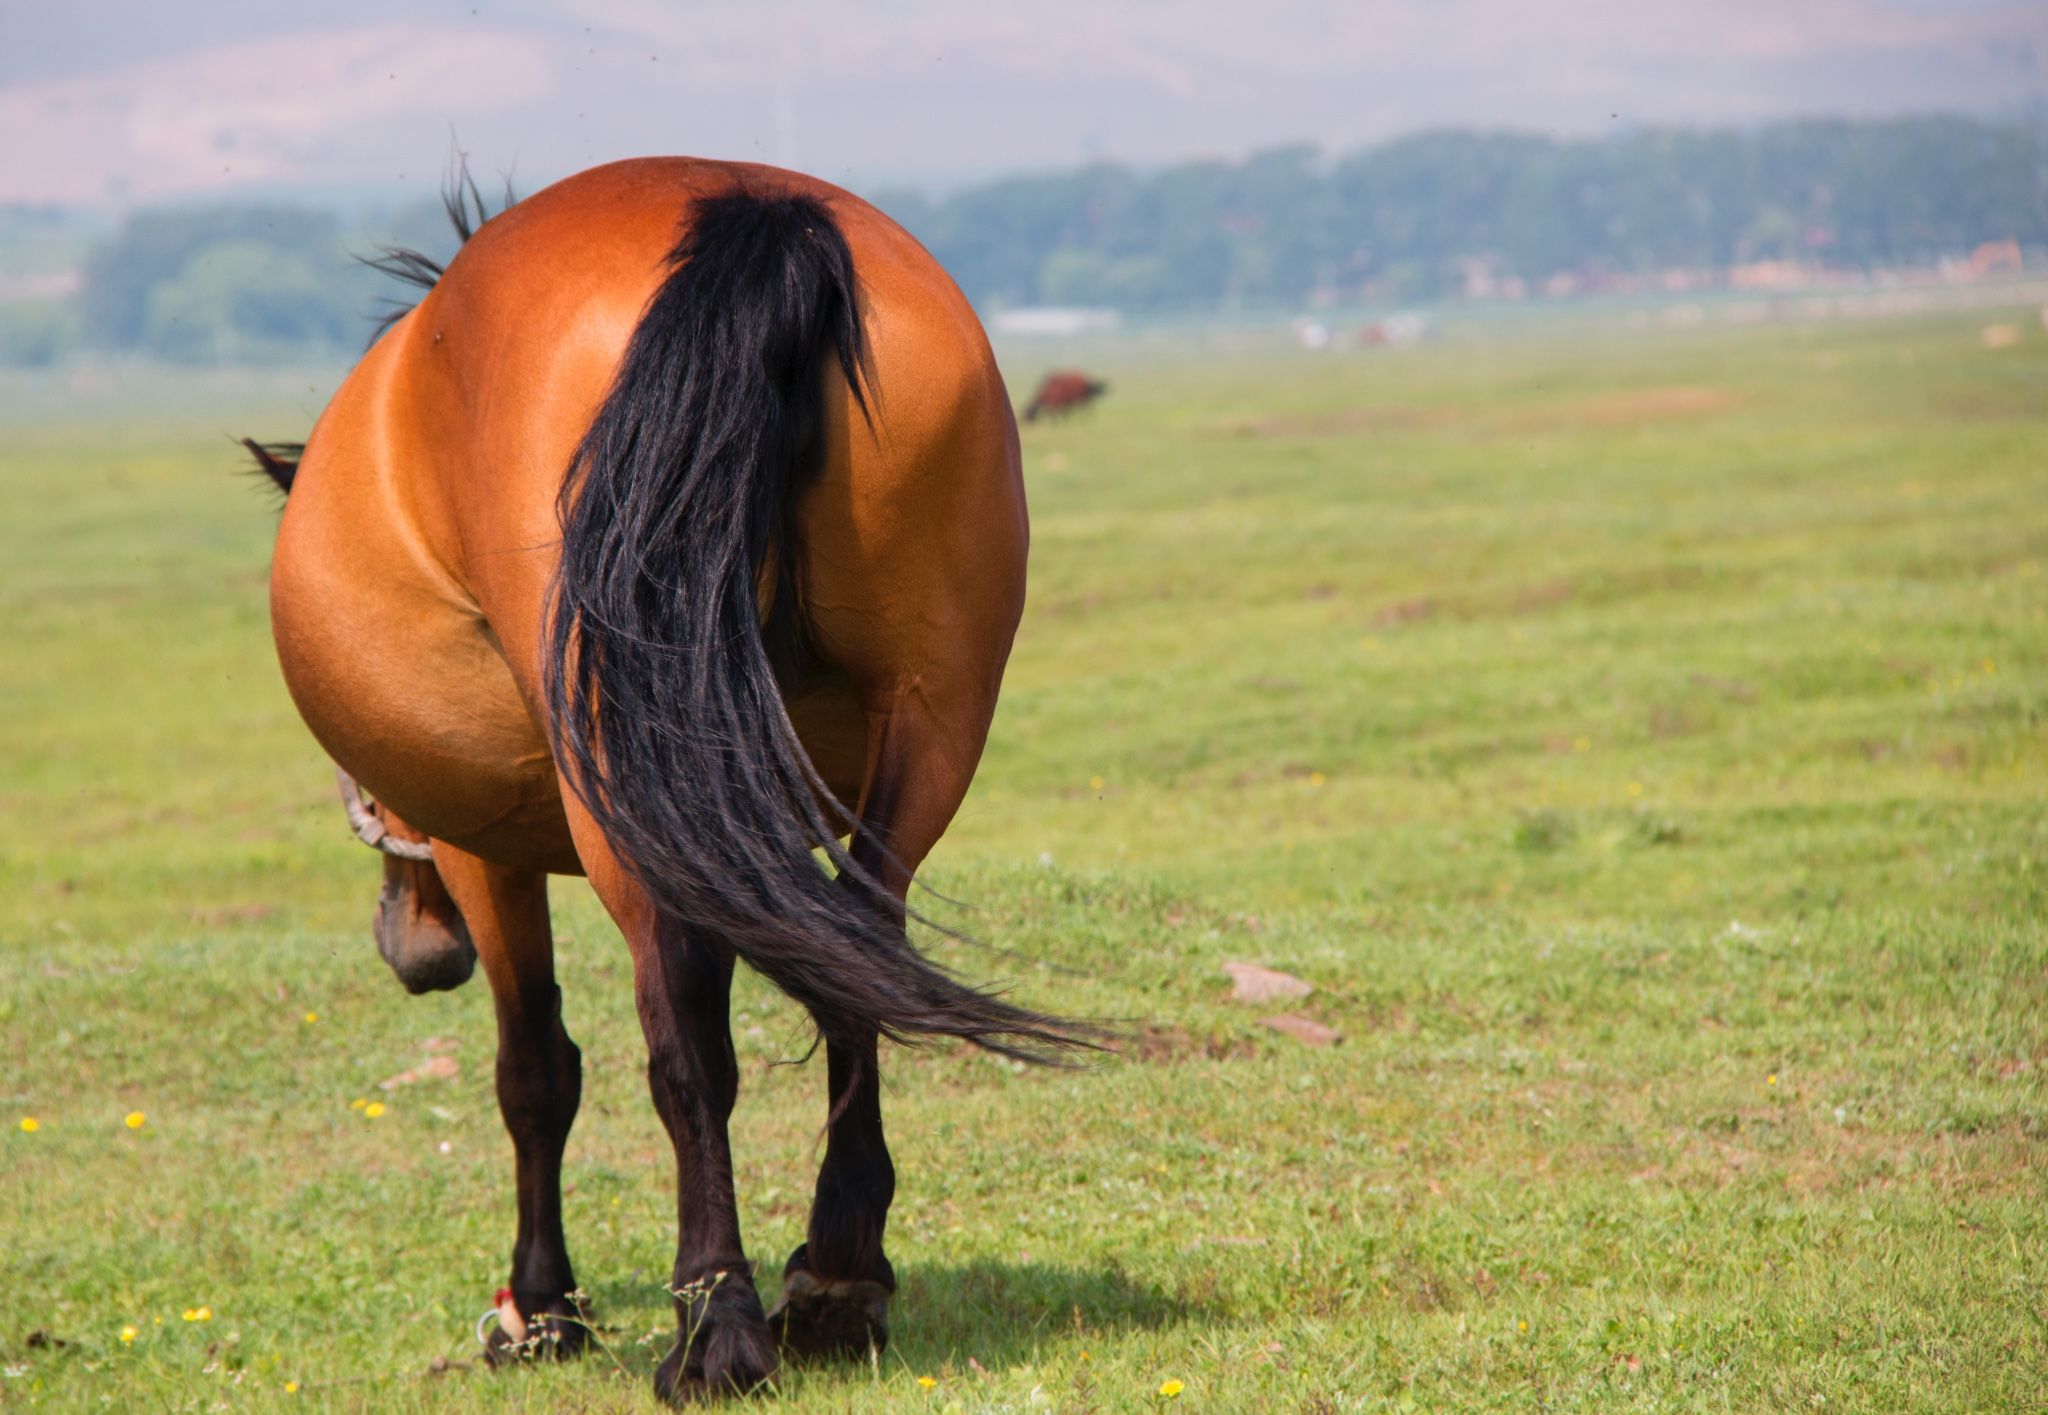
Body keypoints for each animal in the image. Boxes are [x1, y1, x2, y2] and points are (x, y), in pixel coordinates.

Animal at [253, 157, 1097, 1408]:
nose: (415, 947)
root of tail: (751, 215)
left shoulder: (484, 850)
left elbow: (535, 1068)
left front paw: (541, 1306)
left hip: (620, 780)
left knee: (685, 1035)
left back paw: (716, 1327)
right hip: (925, 722)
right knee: (860, 956)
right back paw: (837, 1279)